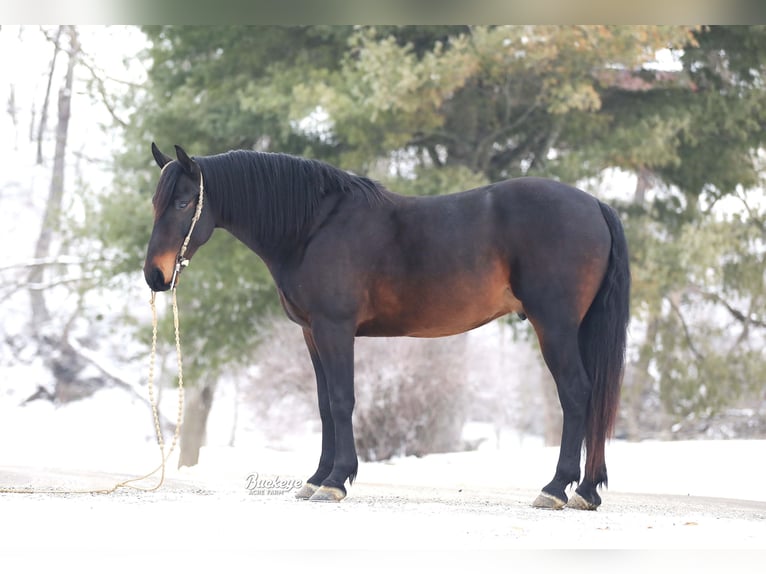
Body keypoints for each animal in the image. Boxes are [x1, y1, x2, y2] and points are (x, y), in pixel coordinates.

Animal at [142, 142, 632, 510]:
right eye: (155, 202)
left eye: (184, 202)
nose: (155, 276)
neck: (314, 227)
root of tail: (594, 204)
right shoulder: (311, 333)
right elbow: (324, 404)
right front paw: (316, 478)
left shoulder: (335, 329)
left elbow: (342, 400)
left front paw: (336, 481)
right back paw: (587, 491)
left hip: (555, 327)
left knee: (577, 393)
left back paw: (556, 489)